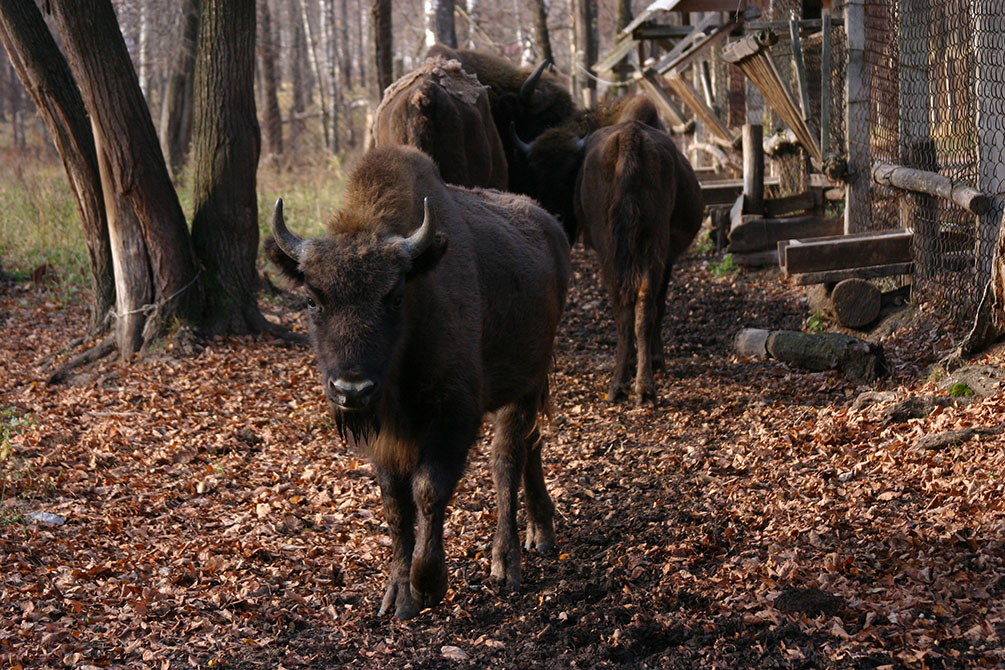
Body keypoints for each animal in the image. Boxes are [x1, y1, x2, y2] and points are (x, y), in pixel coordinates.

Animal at [265, 145, 574, 618]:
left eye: (394, 297)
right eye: (312, 299)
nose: (352, 390)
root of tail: (551, 226)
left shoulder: (454, 413)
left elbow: (430, 490)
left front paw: (427, 584)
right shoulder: (385, 434)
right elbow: (396, 504)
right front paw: (397, 595)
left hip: (526, 382)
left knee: (506, 459)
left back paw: (506, 563)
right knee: (530, 446)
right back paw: (540, 532)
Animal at [518, 96, 699, 405]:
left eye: (568, 174)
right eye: (537, 175)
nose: (553, 214)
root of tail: (630, 139)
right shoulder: (665, 258)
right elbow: (658, 305)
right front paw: (655, 358)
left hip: (619, 248)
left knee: (629, 305)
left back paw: (630, 386)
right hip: (643, 246)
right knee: (640, 305)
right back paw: (637, 385)